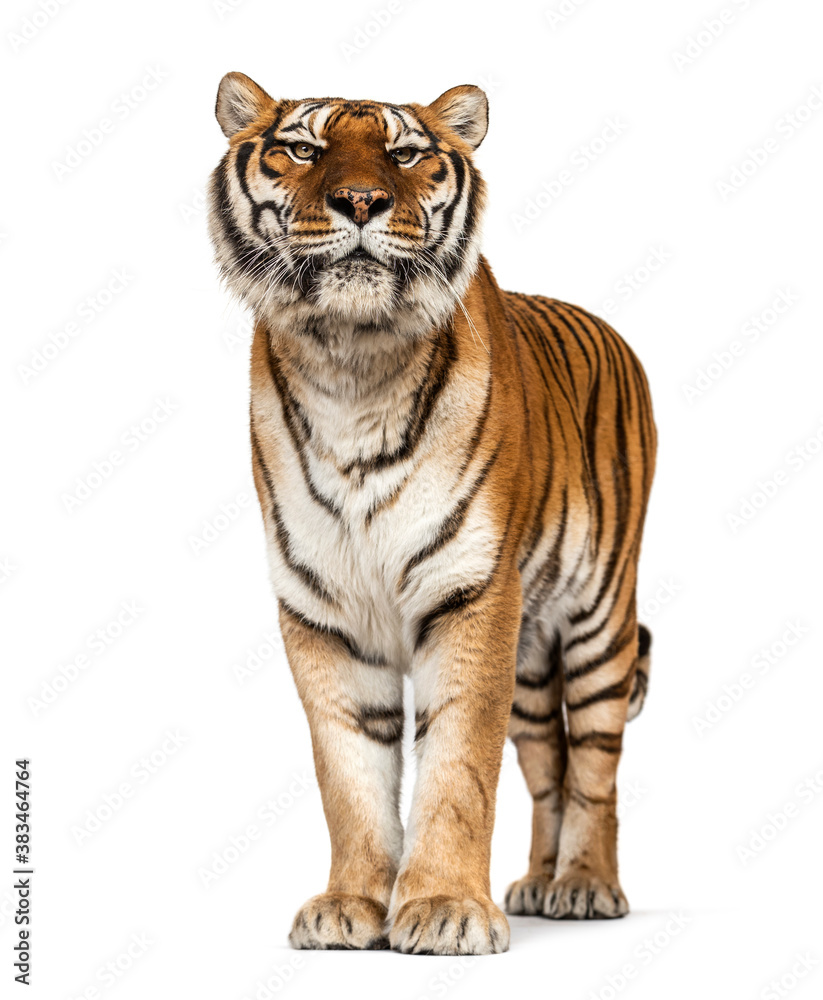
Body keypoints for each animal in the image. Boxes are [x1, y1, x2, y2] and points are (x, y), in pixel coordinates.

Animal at [208, 72, 657, 956]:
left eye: (406, 153)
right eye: (301, 148)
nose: (360, 200)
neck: (350, 366)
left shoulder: (471, 593)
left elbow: (457, 765)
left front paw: (446, 909)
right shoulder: (322, 610)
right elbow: (348, 773)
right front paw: (349, 906)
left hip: (598, 622)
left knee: (593, 765)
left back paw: (586, 886)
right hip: (531, 661)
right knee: (548, 765)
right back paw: (536, 886)